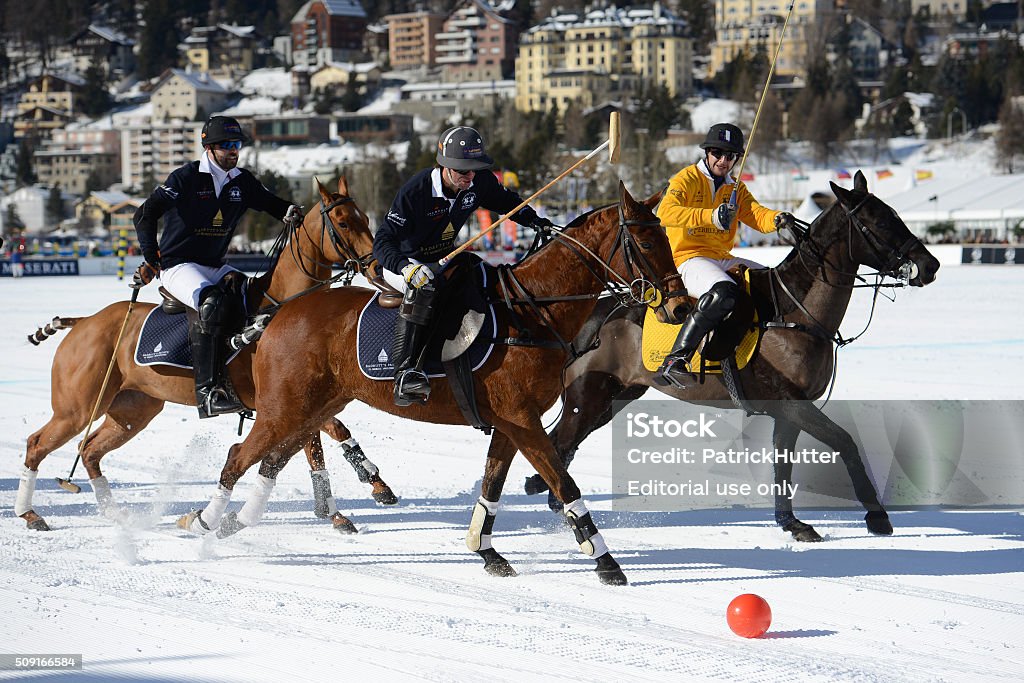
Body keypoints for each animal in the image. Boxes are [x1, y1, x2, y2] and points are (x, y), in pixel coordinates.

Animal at [18, 179, 399, 532]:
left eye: (366, 218)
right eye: (343, 222)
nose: (377, 267)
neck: (280, 305)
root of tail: (83, 321)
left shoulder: (302, 398)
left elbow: (323, 439)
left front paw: (363, 492)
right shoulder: (284, 400)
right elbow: (319, 439)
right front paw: (349, 500)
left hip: (133, 409)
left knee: (90, 450)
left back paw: (114, 514)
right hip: (77, 408)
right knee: (37, 443)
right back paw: (30, 514)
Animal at [178, 183, 688, 589]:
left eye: (667, 237)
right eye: (645, 241)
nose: (680, 307)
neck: (532, 310)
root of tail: (276, 313)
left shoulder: (509, 423)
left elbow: (493, 485)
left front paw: (486, 550)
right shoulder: (523, 420)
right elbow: (564, 484)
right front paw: (605, 561)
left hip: (314, 407)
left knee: (272, 460)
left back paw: (233, 521)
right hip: (285, 407)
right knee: (238, 457)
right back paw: (203, 520)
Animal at [524, 169, 937, 540]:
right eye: (879, 221)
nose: (929, 266)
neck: (795, 311)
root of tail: (587, 316)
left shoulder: (787, 409)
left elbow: (783, 463)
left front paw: (792, 523)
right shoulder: (792, 402)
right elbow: (845, 442)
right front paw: (877, 517)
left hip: (617, 395)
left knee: (563, 444)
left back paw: (544, 492)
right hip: (589, 395)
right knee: (560, 442)